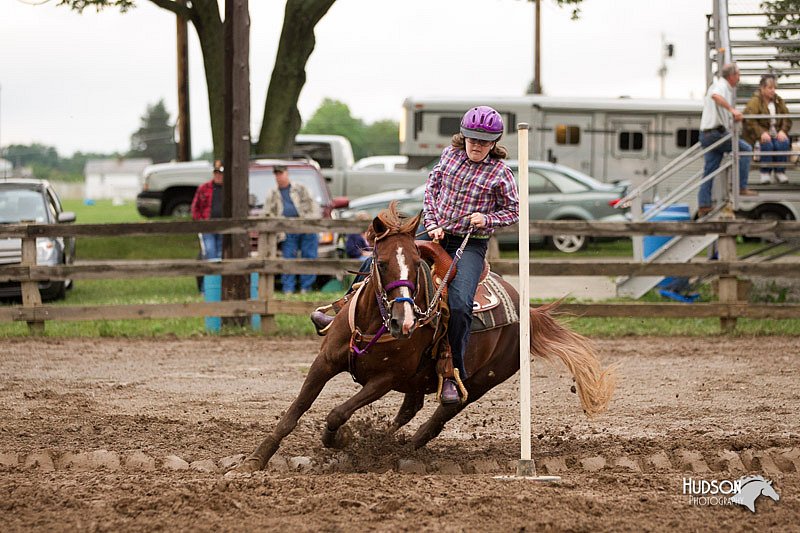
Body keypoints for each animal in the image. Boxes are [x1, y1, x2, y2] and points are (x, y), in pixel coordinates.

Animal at [234, 203, 616, 470]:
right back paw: (386, 444)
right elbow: (294, 412)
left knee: (441, 413)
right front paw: (255, 459)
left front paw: (338, 439)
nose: (403, 323)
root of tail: (527, 309)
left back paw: (401, 449)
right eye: (381, 262)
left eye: (416, 263)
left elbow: (337, 413)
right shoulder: (324, 362)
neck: (374, 323)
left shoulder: (385, 379)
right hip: (419, 377)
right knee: (410, 409)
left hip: (480, 380)